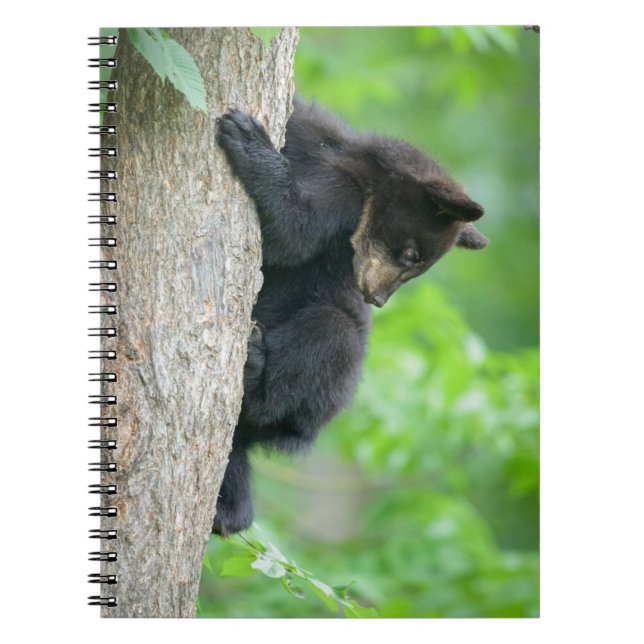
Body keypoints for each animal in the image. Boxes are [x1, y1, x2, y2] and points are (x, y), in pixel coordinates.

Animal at [212, 98, 488, 536]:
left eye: (417, 266)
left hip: (327, 388)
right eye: (411, 255)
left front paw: (248, 139)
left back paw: (255, 372)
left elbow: (293, 233)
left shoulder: (343, 200)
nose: (376, 298)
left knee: (327, 339)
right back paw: (228, 509)